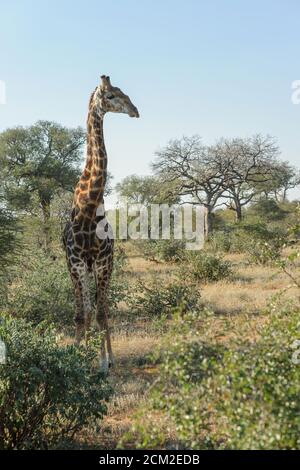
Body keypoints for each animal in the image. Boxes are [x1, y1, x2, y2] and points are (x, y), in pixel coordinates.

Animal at [63, 75, 139, 372]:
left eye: (123, 92)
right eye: (111, 95)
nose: (135, 110)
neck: (87, 207)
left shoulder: (103, 260)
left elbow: (101, 313)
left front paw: (103, 361)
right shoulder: (75, 262)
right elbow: (81, 314)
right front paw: (78, 356)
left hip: (104, 265)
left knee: (103, 308)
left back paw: (110, 358)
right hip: (85, 268)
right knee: (88, 308)